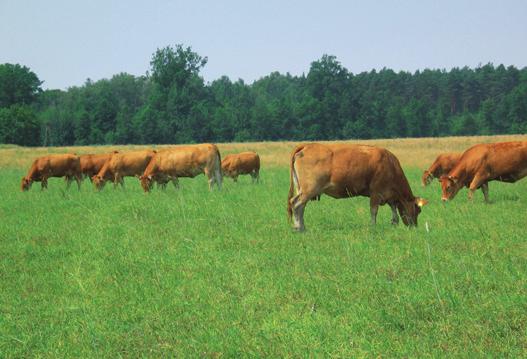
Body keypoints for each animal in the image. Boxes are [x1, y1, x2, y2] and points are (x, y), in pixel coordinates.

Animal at [286, 143, 426, 231]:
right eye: (418, 210)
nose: (414, 227)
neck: (391, 165)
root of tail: (308, 145)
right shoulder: (376, 193)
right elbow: (374, 211)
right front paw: (373, 227)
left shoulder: (390, 195)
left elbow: (394, 213)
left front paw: (394, 225)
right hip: (309, 189)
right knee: (296, 204)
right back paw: (299, 228)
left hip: (302, 189)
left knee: (300, 207)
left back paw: (302, 227)